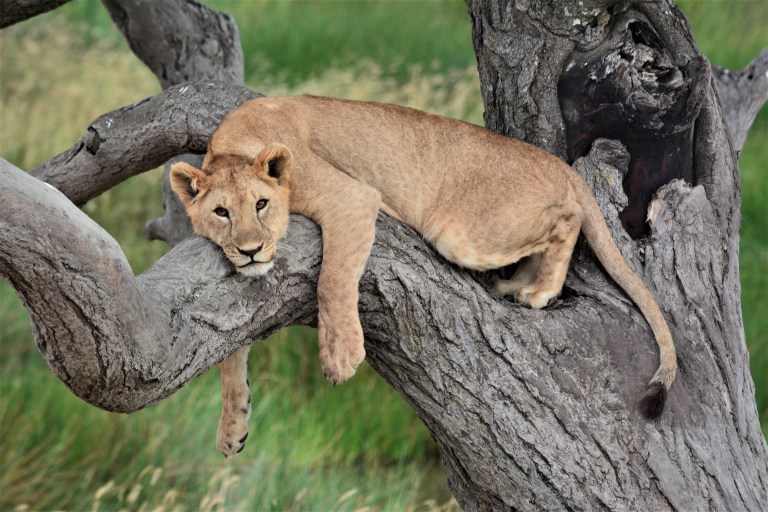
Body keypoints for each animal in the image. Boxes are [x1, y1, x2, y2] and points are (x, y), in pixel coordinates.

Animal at [171, 95, 677, 457]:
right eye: (220, 213)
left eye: (261, 204)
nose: (251, 250)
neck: (235, 141)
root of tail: (558, 163)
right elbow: (230, 355)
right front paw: (233, 426)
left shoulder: (352, 196)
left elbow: (333, 280)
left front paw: (341, 356)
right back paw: (515, 285)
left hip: (459, 231)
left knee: (568, 218)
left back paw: (541, 291)